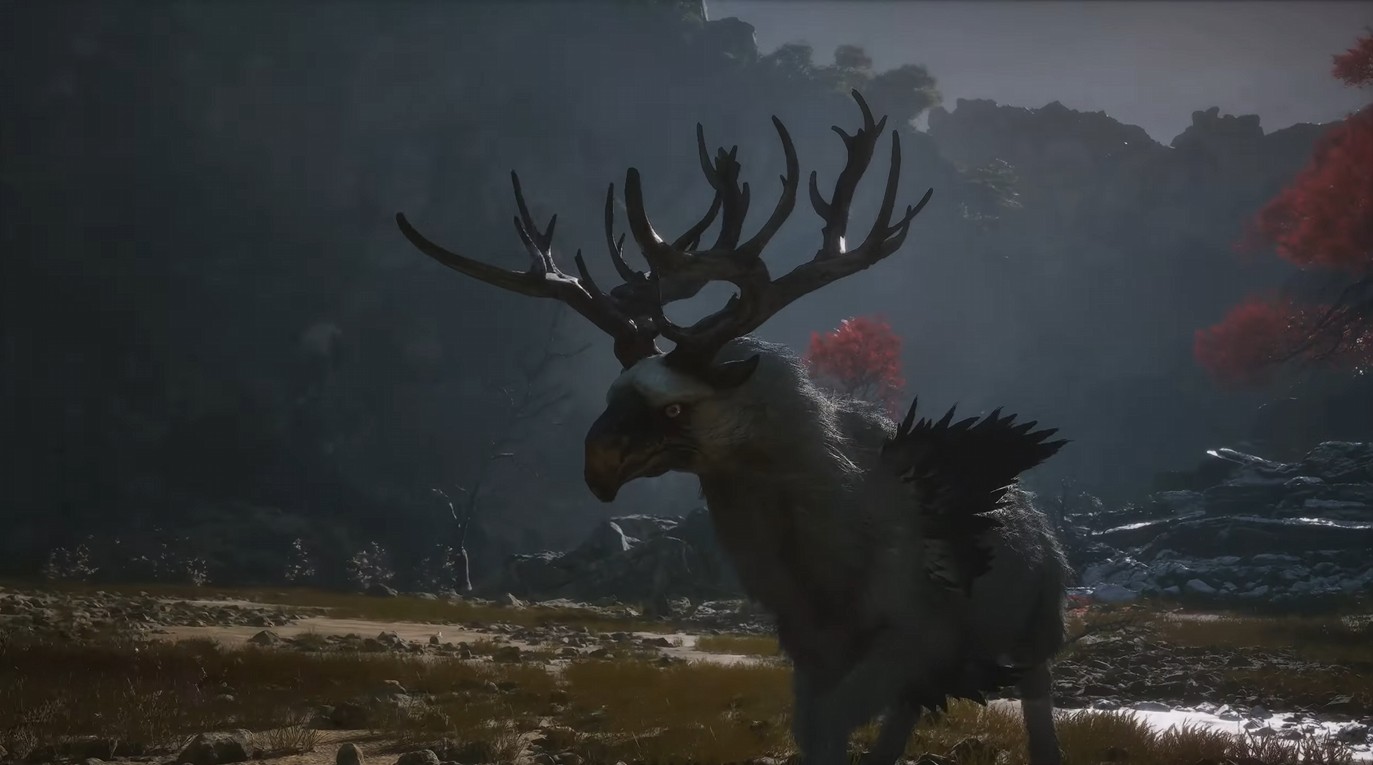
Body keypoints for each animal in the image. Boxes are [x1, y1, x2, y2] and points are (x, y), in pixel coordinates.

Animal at [396, 91, 1069, 765]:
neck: (824, 559)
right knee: (905, 720)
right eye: (613, 394)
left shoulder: (914, 637)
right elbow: (816, 731)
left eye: (673, 408)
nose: (598, 466)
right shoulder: (812, 649)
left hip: (1034, 634)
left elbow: (833, 724)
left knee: (1035, 713)